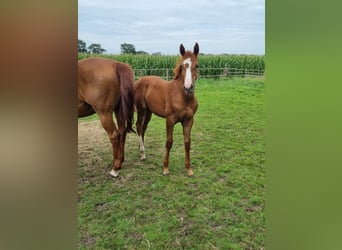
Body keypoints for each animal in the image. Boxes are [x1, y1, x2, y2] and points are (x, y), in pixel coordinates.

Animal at [134, 42, 199, 176]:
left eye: (197, 65)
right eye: (182, 66)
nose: (188, 87)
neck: (183, 97)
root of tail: (139, 80)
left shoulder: (189, 120)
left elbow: (187, 142)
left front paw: (189, 169)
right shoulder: (170, 120)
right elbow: (169, 142)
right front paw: (165, 168)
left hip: (149, 112)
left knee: (143, 128)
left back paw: (141, 149)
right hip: (141, 110)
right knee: (138, 126)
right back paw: (142, 153)